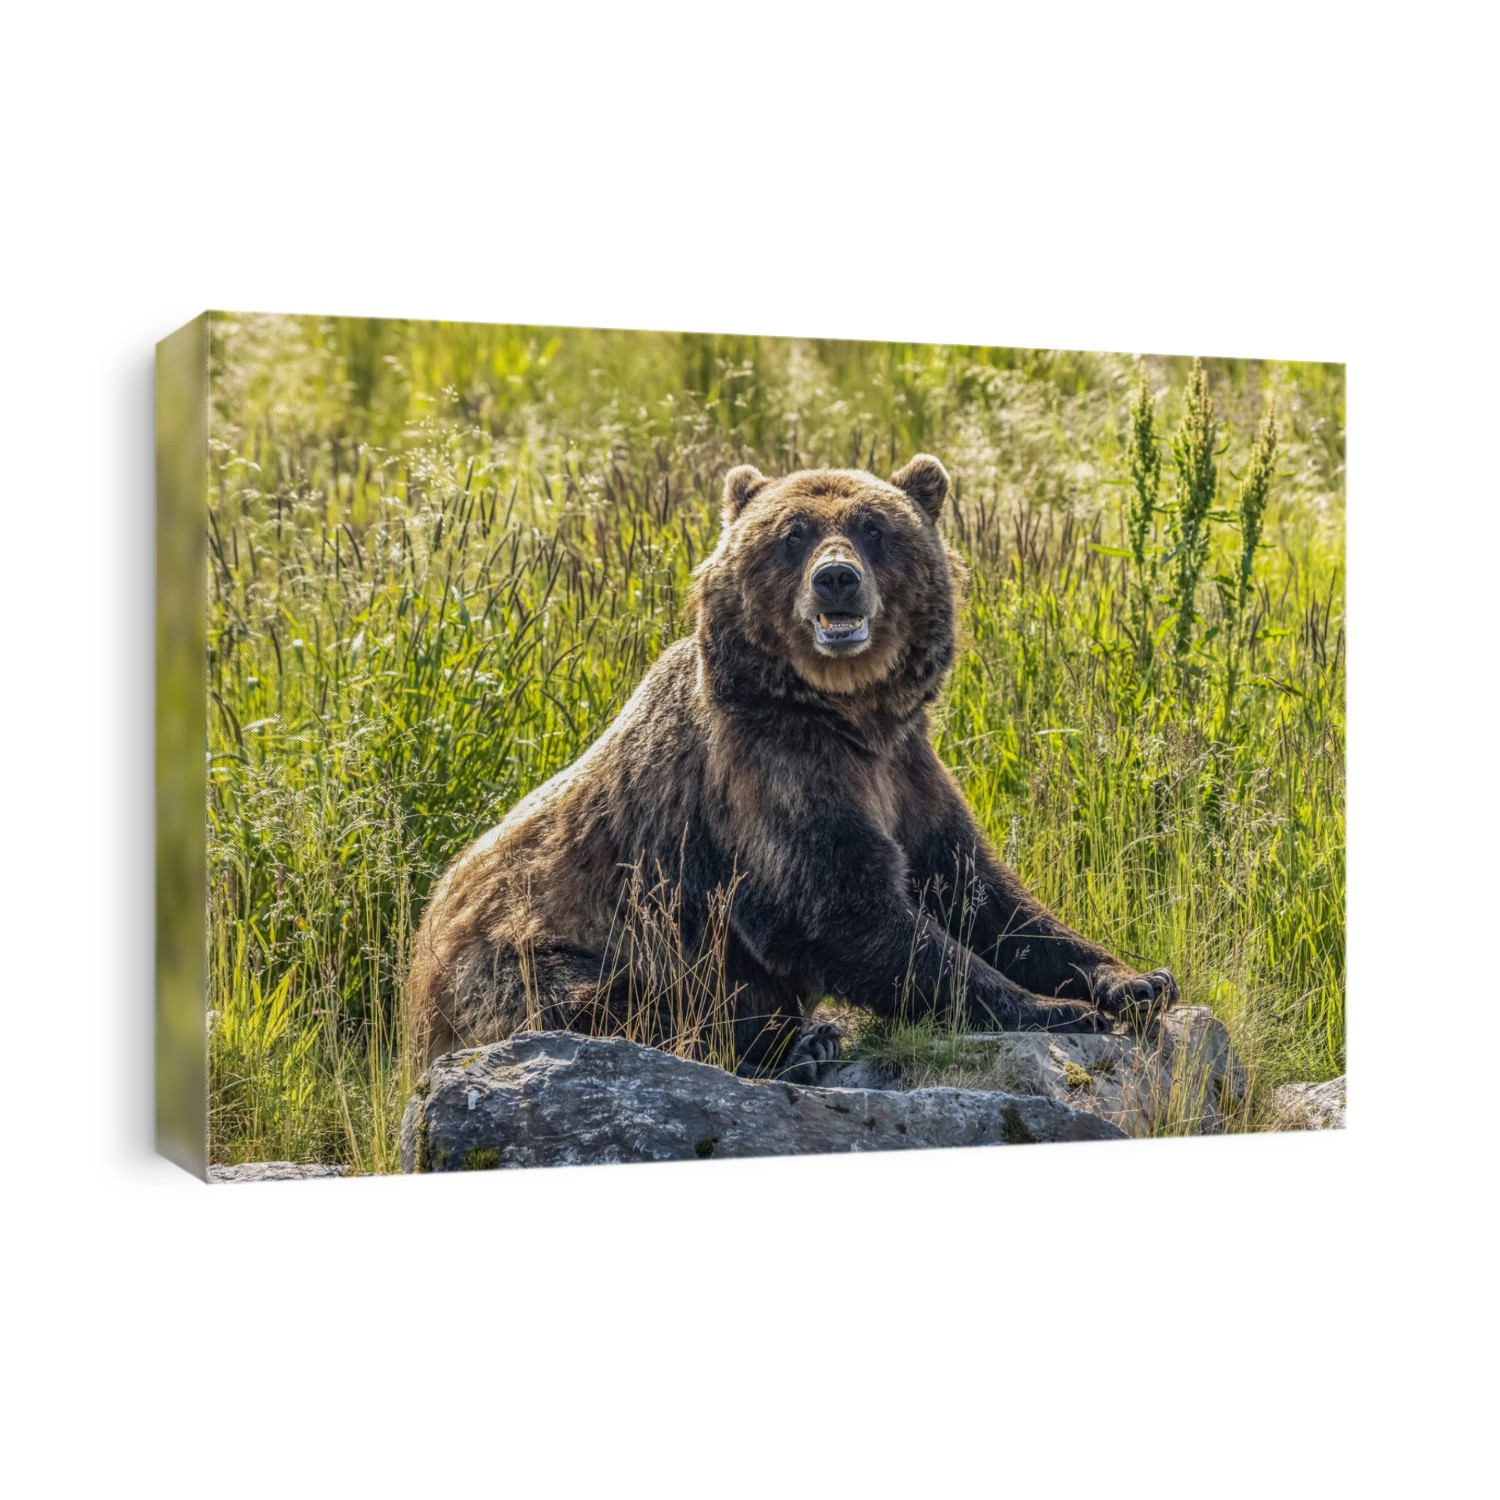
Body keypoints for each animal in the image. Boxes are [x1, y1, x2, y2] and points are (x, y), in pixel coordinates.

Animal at [406, 455, 1178, 1081]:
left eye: (873, 527)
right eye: (794, 534)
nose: (837, 580)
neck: (848, 714)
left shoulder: (907, 773)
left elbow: (982, 893)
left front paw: (1134, 981)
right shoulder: (770, 774)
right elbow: (844, 906)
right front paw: (1053, 1008)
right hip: (538, 953)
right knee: (604, 1007)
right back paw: (795, 1048)